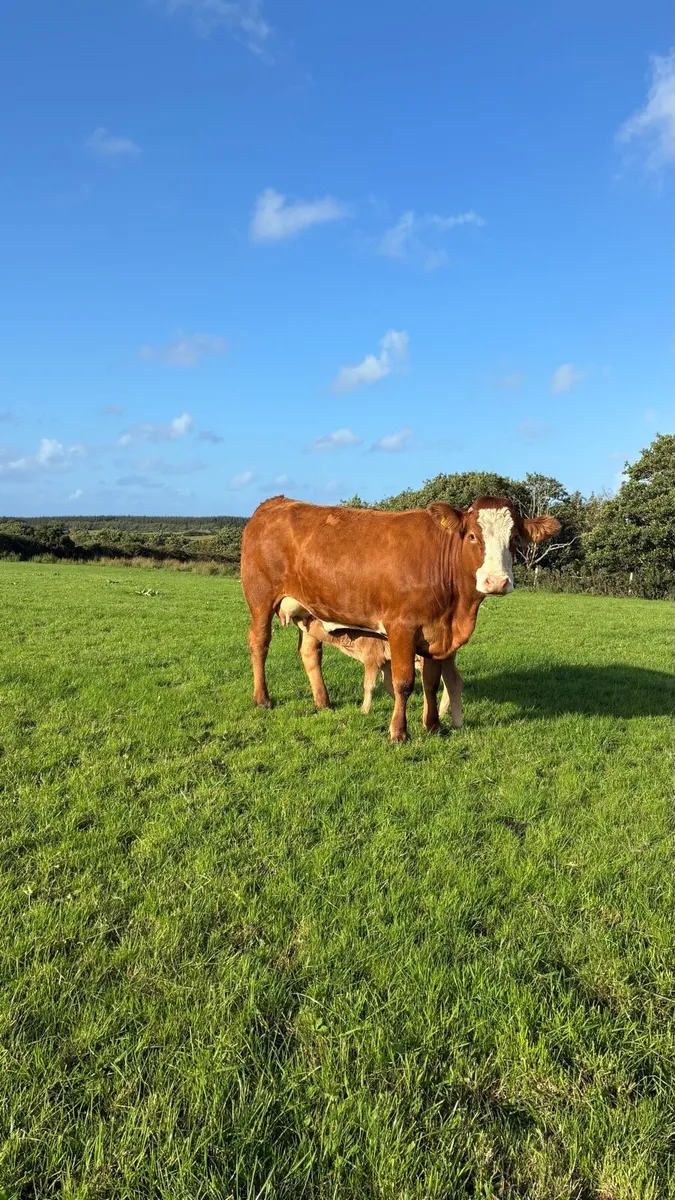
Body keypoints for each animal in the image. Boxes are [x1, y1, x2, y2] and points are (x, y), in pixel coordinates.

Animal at [240, 495, 560, 742]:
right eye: (472, 536)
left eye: (514, 538)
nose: (496, 582)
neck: (455, 612)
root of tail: (274, 504)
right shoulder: (401, 628)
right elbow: (404, 682)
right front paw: (398, 732)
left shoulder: (436, 634)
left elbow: (431, 682)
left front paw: (433, 725)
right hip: (260, 598)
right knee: (259, 643)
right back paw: (262, 699)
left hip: (309, 610)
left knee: (309, 652)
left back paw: (323, 702)